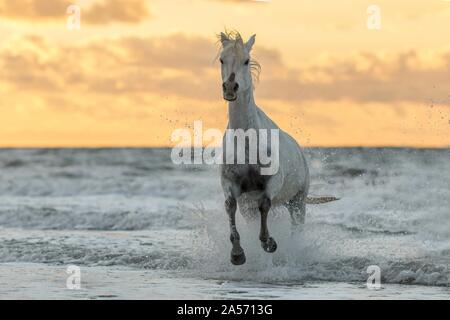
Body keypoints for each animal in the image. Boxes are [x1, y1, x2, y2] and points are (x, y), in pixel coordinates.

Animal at [218, 31, 338, 264]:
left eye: (246, 60)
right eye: (221, 60)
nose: (230, 88)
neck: (248, 143)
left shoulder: (272, 183)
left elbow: (265, 204)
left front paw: (269, 243)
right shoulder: (231, 185)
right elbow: (230, 206)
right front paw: (237, 253)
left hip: (298, 201)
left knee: (295, 225)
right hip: (251, 207)